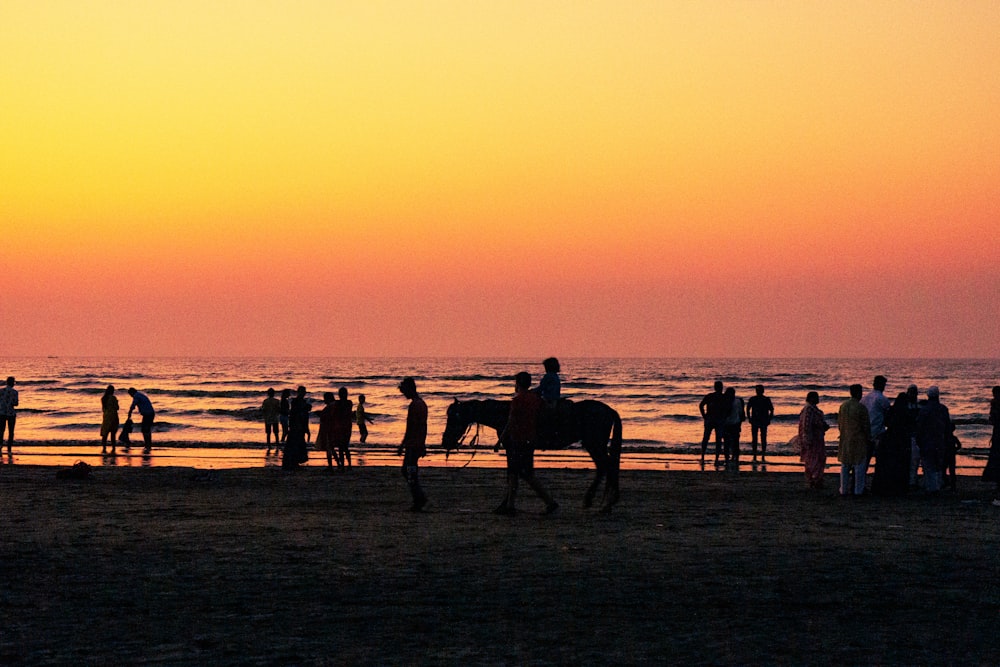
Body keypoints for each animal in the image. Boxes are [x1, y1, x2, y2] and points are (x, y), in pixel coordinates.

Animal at [444, 400, 620, 516]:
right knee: (604, 467)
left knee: (607, 466)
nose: (445, 440)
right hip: (594, 445)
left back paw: (602, 503)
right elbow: (519, 473)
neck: (507, 415)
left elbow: (516, 473)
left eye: (454, 417)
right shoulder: (519, 449)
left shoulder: (516, 448)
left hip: (594, 444)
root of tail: (609, 410)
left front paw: (507, 506)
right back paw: (603, 502)